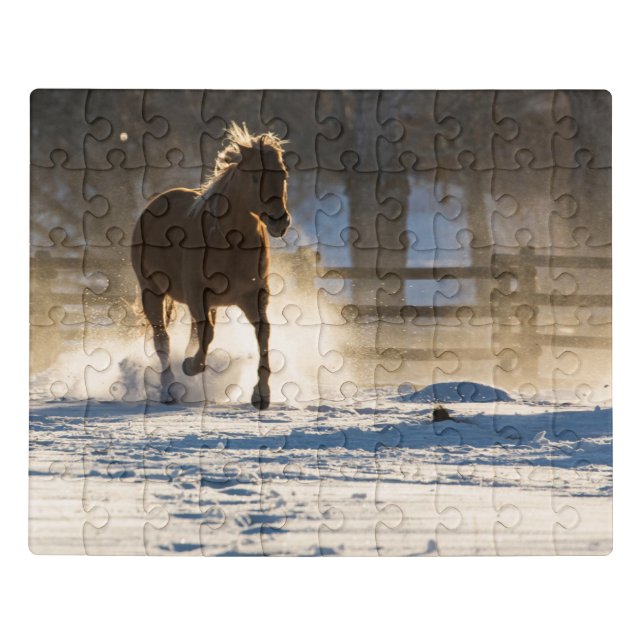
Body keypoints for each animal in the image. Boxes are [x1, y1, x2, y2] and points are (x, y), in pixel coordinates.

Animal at [131, 123, 291, 409]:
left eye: (282, 174)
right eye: (254, 178)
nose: (279, 222)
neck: (230, 243)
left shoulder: (253, 297)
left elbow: (263, 334)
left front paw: (261, 395)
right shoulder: (197, 294)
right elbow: (207, 335)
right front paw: (190, 366)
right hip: (152, 292)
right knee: (162, 339)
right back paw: (169, 390)